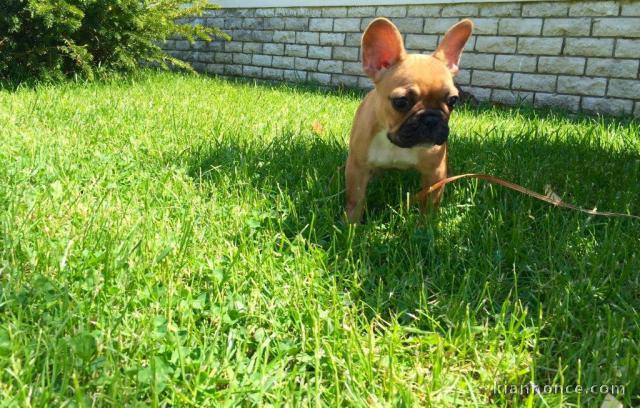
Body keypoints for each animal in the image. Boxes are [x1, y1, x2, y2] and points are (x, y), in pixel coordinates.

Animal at [344, 17, 476, 223]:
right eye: (401, 102)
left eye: (453, 100)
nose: (431, 119)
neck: (394, 142)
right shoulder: (357, 167)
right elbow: (355, 200)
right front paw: (351, 225)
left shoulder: (435, 173)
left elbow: (430, 204)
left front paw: (427, 226)